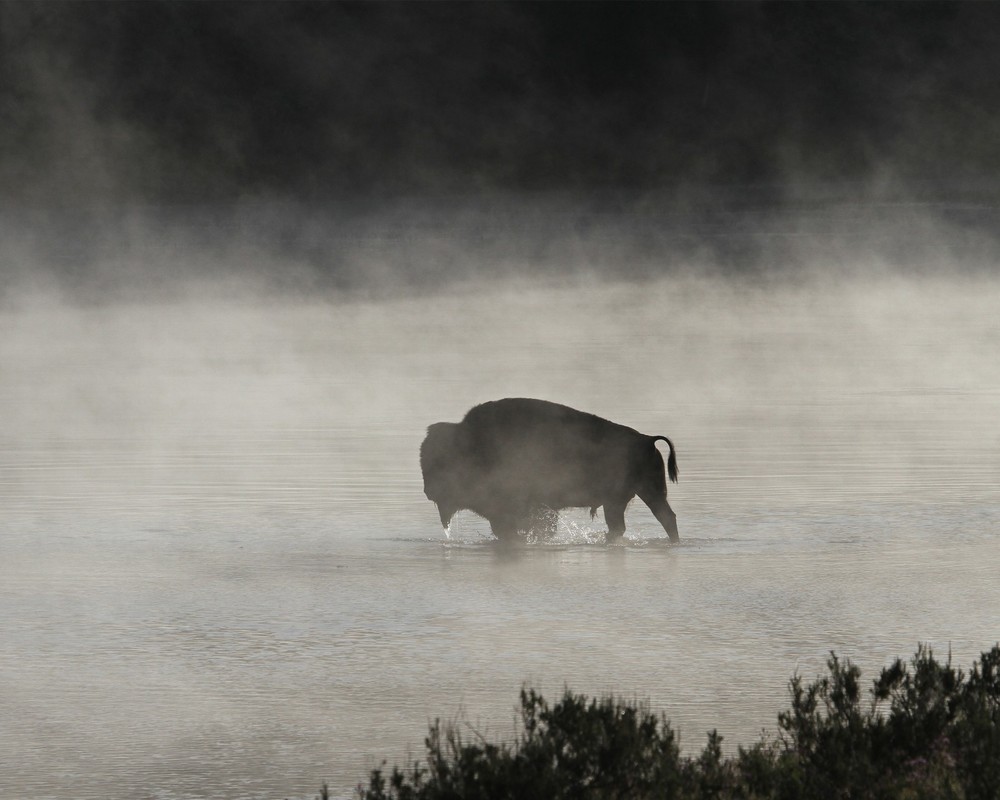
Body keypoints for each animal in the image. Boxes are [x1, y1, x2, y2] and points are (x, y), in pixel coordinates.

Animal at [420, 398, 679, 542]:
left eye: (440, 462)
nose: (428, 491)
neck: (474, 443)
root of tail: (646, 440)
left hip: (637, 495)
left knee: (659, 519)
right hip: (629, 498)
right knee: (651, 521)